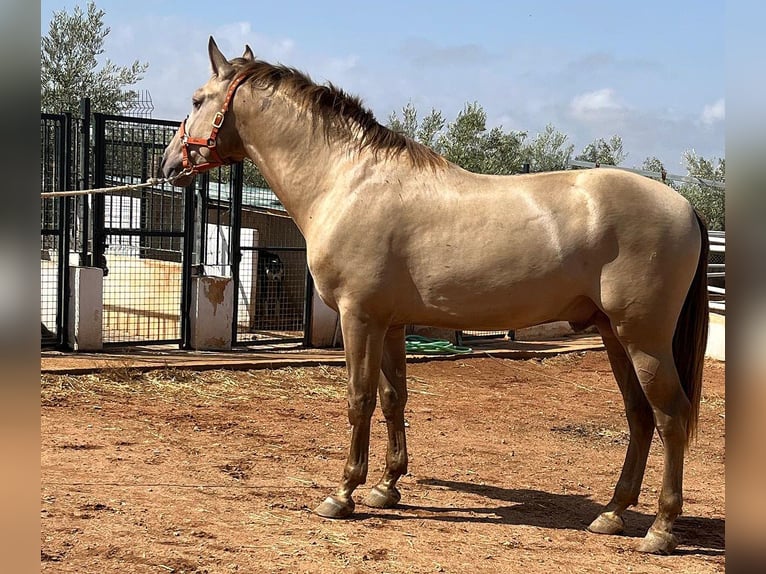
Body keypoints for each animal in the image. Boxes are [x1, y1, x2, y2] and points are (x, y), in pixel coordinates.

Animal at [160, 37, 708, 560]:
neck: (348, 181)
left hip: (642, 339)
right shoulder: (392, 323)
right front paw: (386, 487)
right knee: (639, 417)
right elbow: (393, 398)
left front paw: (343, 494)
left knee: (670, 417)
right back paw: (612, 513)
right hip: (614, 335)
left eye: (197, 99)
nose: (168, 164)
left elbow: (359, 400)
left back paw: (660, 529)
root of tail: (684, 204)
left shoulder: (360, 318)